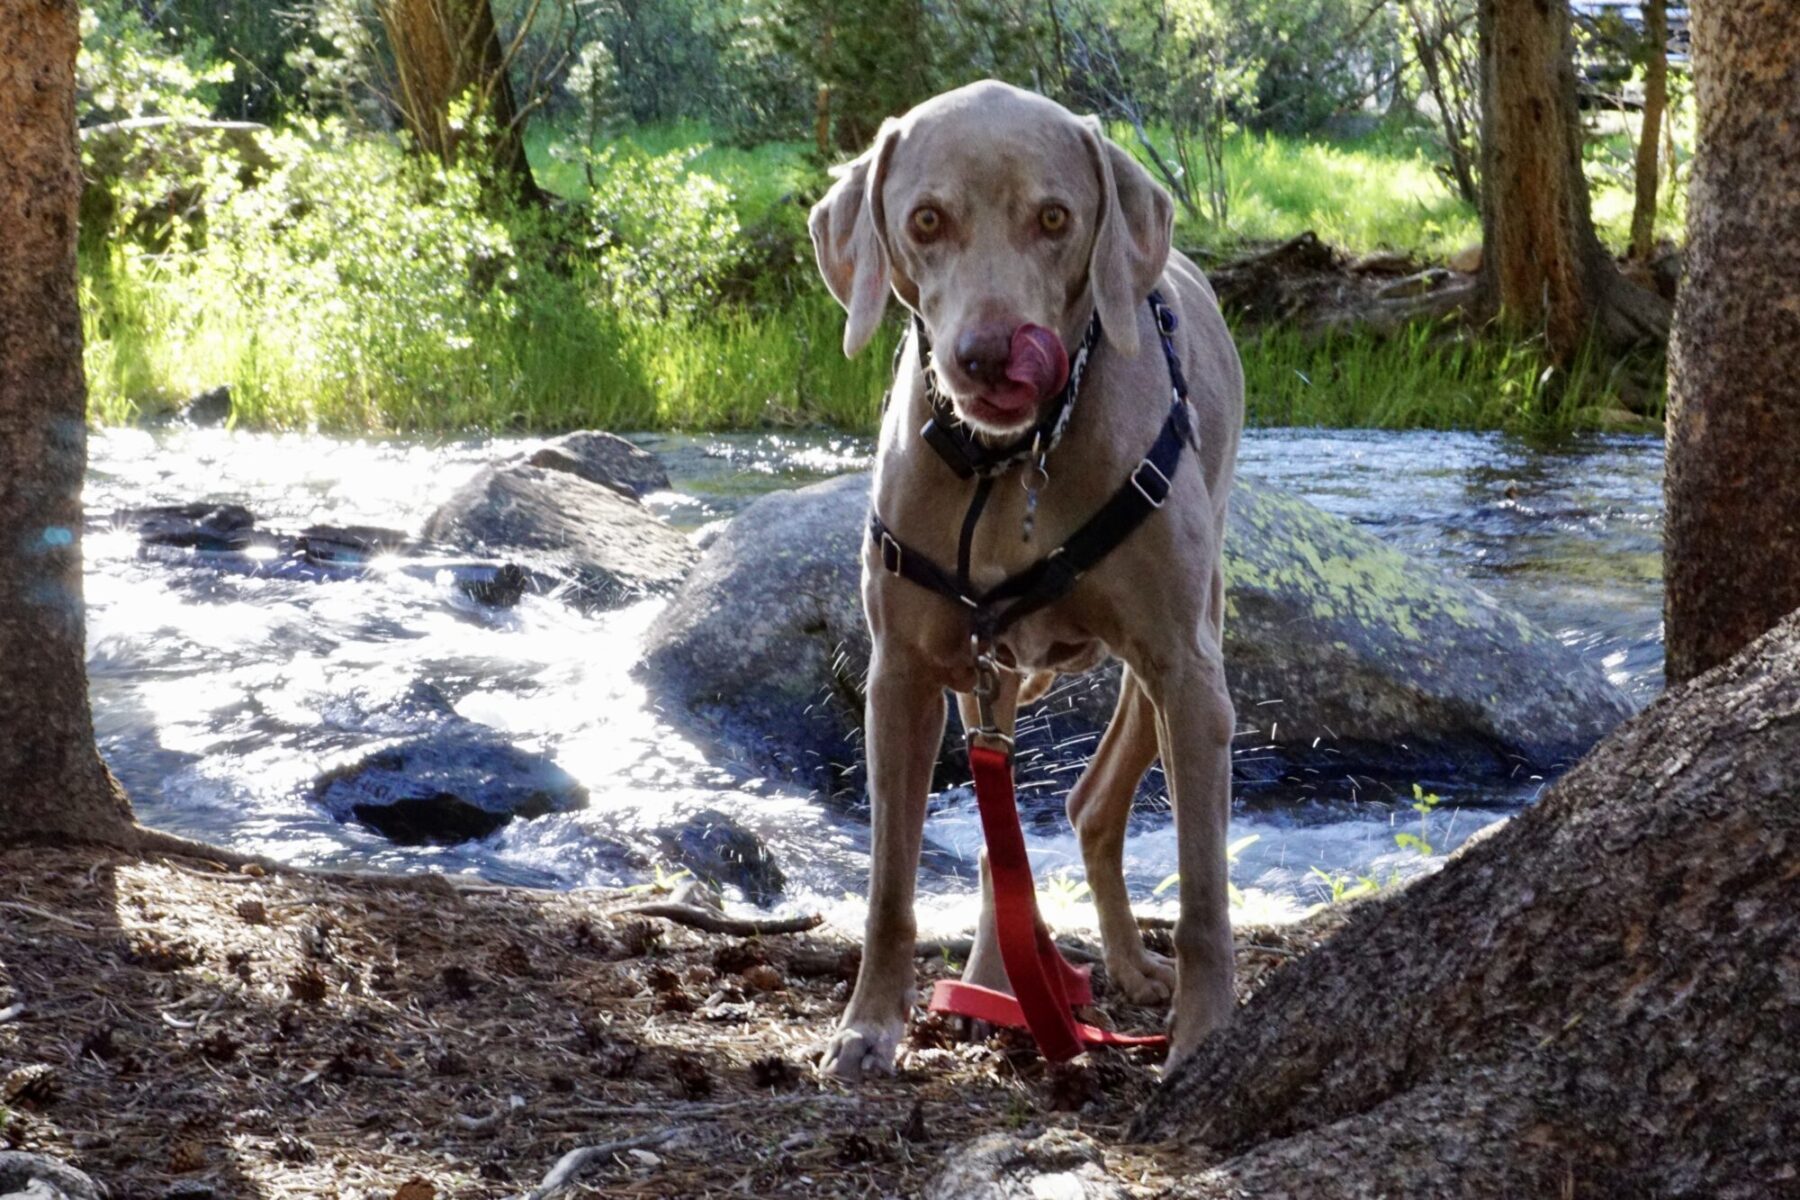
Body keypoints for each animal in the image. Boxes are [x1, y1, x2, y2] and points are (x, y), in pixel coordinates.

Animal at [813, 79, 1245, 1086]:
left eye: (1055, 218)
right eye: (926, 220)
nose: (988, 354)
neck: (1010, 465)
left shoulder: (1186, 672)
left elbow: (1205, 893)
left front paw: (1205, 1037)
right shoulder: (900, 677)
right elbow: (891, 885)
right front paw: (868, 1027)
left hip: (1184, 646)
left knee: (1094, 805)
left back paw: (1123, 969)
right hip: (993, 671)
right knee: (1009, 839)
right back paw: (995, 982)